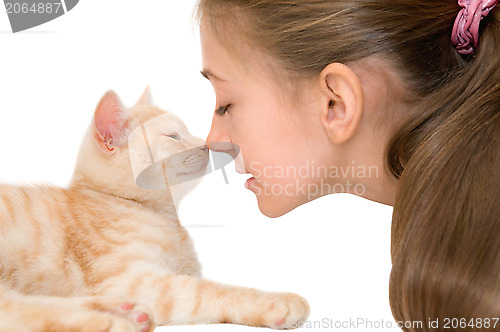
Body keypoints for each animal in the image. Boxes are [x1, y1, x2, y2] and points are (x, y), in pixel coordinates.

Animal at [0, 88, 308, 332]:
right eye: (173, 136)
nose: (206, 144)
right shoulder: (133, 281)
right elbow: (209, 290)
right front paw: (274, 302)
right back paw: (112, 321)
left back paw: (120, 311)